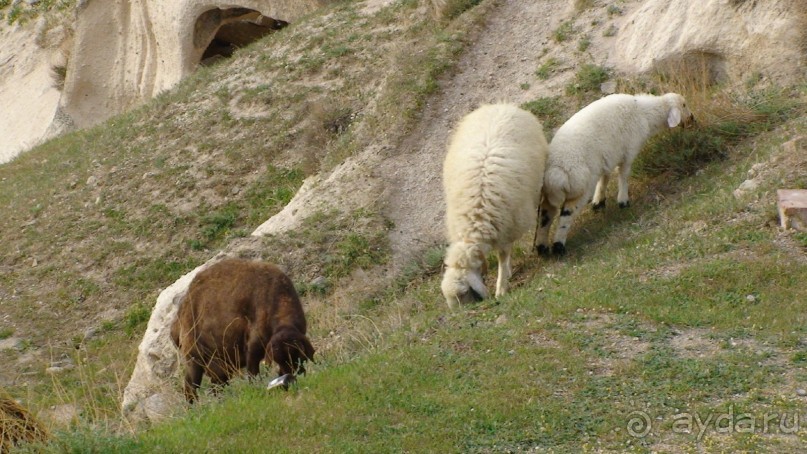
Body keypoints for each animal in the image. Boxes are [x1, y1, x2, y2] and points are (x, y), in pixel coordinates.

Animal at [170, 258, 316, 402]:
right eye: (278, 359)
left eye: (298, 356)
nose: (289, 378)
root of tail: (179, 316)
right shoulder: (253, 348)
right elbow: (253, 373)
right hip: (194, 357)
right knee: (190, 386)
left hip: (219, 365)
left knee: (216, 387)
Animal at [442, 103, 548, 308]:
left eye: (464, 293)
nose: (461, 312)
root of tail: (502, 105)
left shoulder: (506, 229)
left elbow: (503, 257)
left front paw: (501, 287)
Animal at [536, 92, 696, 255]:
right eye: (684, 105)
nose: (693, 118)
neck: (645, 112)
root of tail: (556, 171)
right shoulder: (629, 150)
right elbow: (623, 174)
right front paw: (623, 201)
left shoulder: (608, 156)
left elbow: (604, 178)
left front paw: (598, 202)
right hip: (580, 188)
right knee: (566, 216)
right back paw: (558, 246)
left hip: (550, 194)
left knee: (545, 215)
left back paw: (542, 247)